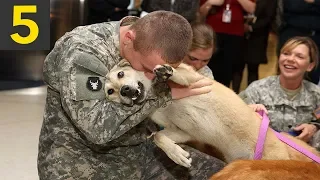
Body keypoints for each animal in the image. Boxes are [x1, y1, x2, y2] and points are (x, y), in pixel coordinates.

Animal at [104, 59, 320, 168]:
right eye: (110, 91)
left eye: (121, 74)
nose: (125, 91)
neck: (161, 100)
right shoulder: (183, 131)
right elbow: (158, 137)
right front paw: (177, 155)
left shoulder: (195, 79)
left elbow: (180, 75)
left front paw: (167, 72)